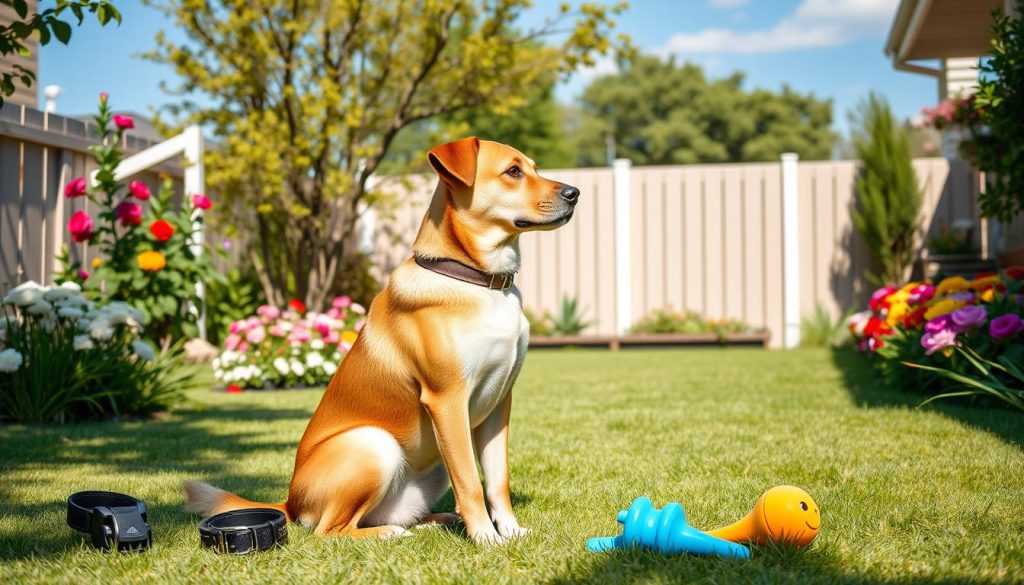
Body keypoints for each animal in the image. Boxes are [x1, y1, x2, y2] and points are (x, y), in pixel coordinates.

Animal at [187, 137, 581, 545]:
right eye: (513, 171)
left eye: (533, 167)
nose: (574, 193)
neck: (478, 282)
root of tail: (290, 502)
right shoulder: (448, 399)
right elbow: (471, 482)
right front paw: (487, 539)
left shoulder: (499, 403)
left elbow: (497, 479)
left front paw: (511, 531)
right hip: (374, 444)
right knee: (331, 530)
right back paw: (392, 532)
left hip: (430, 465)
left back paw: (431, 522)